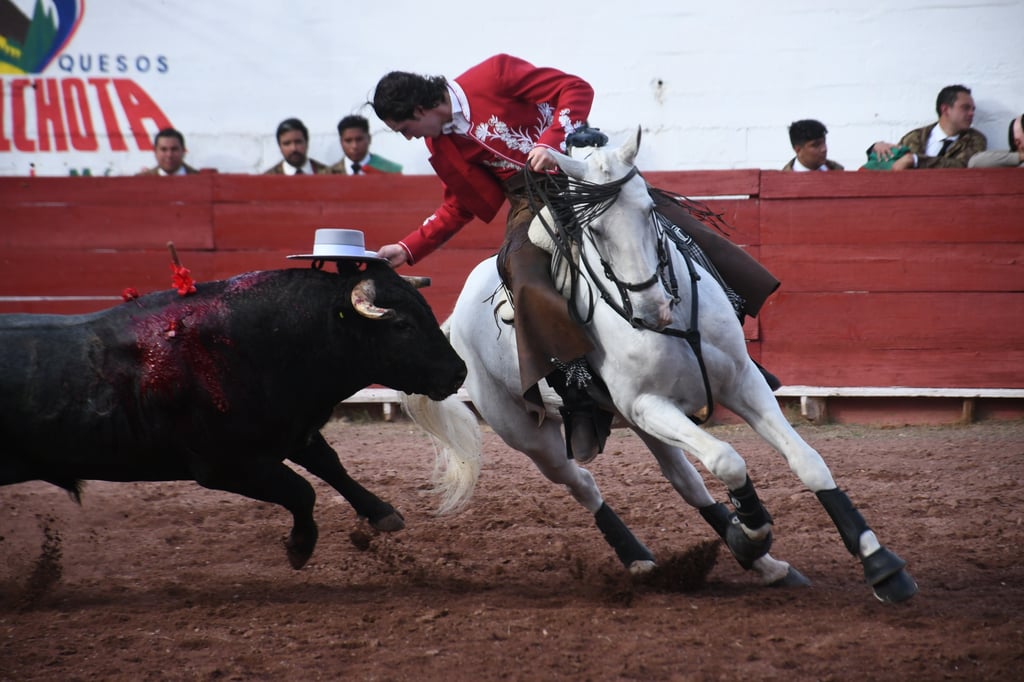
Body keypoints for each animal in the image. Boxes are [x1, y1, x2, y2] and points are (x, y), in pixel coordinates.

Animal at [0, 262, 468, 565]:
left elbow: (331, 465)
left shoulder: (293, 430)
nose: (459, 372)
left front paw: (381, 512)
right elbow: (304, 491)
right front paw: (299, 547)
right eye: (402, 325)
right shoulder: (226, 466)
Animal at [403, 129, 917, 602]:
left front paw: (880, 564)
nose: (652, 309)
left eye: (650, 209)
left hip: (638, 420)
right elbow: (727, 460)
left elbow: (806, 461)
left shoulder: (741, 382)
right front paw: (750, 532)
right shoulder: (648, 403)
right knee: (583, 483)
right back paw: (642, 559)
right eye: (593, 230)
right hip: (529, 432)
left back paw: (766, 565)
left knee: (685, 481)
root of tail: (457, 313)